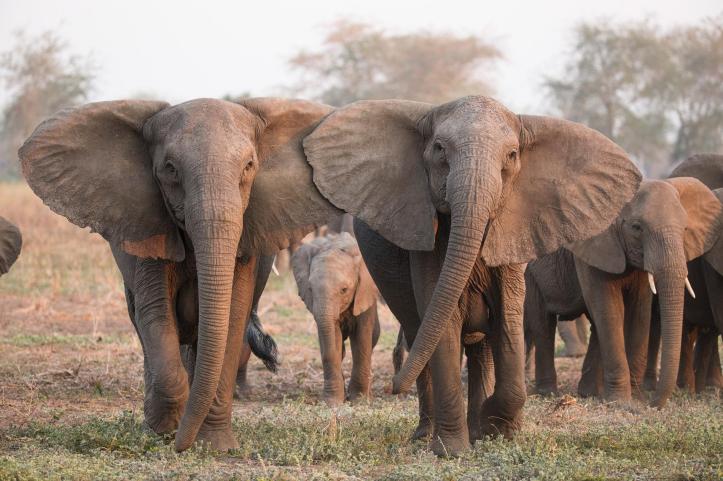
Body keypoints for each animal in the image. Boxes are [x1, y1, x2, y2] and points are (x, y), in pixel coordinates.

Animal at [19, 97, 341, 452]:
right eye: (170, 168)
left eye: (249, 166)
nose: (179, 446)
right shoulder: (148, 226)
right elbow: (156, 314)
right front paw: (164, 432)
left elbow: (231, 318)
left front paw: (214, 445)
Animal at [291, 232, 380, 405]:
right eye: (310, 289)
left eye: (344, 290)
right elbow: (332, 339)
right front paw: (332, 402)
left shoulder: (364, 294)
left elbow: (362, 339)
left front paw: (359, 400)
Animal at [301, 96, 642, 455]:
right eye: (439, 149)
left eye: (512, 155)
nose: (394, 387)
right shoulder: (428, 240)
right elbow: (443, 322)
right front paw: (452, 450)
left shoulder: (514, 231)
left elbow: (507, 318)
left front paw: (497, 427)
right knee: (420, 333)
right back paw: (427, 434)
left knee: (481, 348)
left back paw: (477, 428)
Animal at [524, 178, 721, 407]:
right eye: (637, 227)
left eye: (686, 228)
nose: (653, 403)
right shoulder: (593, 246)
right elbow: (609, 310)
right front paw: (621, 402)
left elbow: (639, 311)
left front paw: (635, 398)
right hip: (529, 272)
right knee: (543, 326)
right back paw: (548, 393)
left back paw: (589, 393)